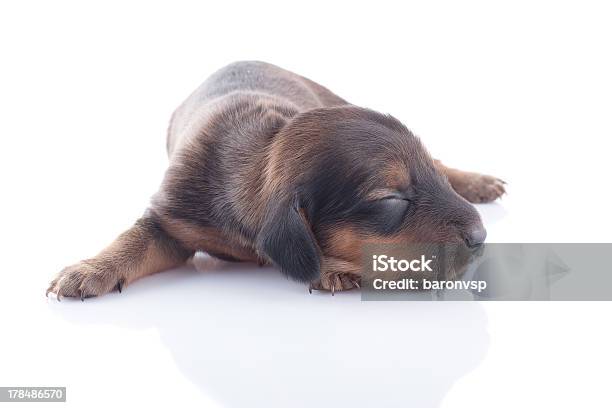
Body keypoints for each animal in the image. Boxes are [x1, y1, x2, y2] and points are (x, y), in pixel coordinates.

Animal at [47, 60, 504, 298]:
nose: (481, 237)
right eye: (391, 199)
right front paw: (89, 269)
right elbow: (134, 239)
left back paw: (479, 182)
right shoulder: (172, 219)